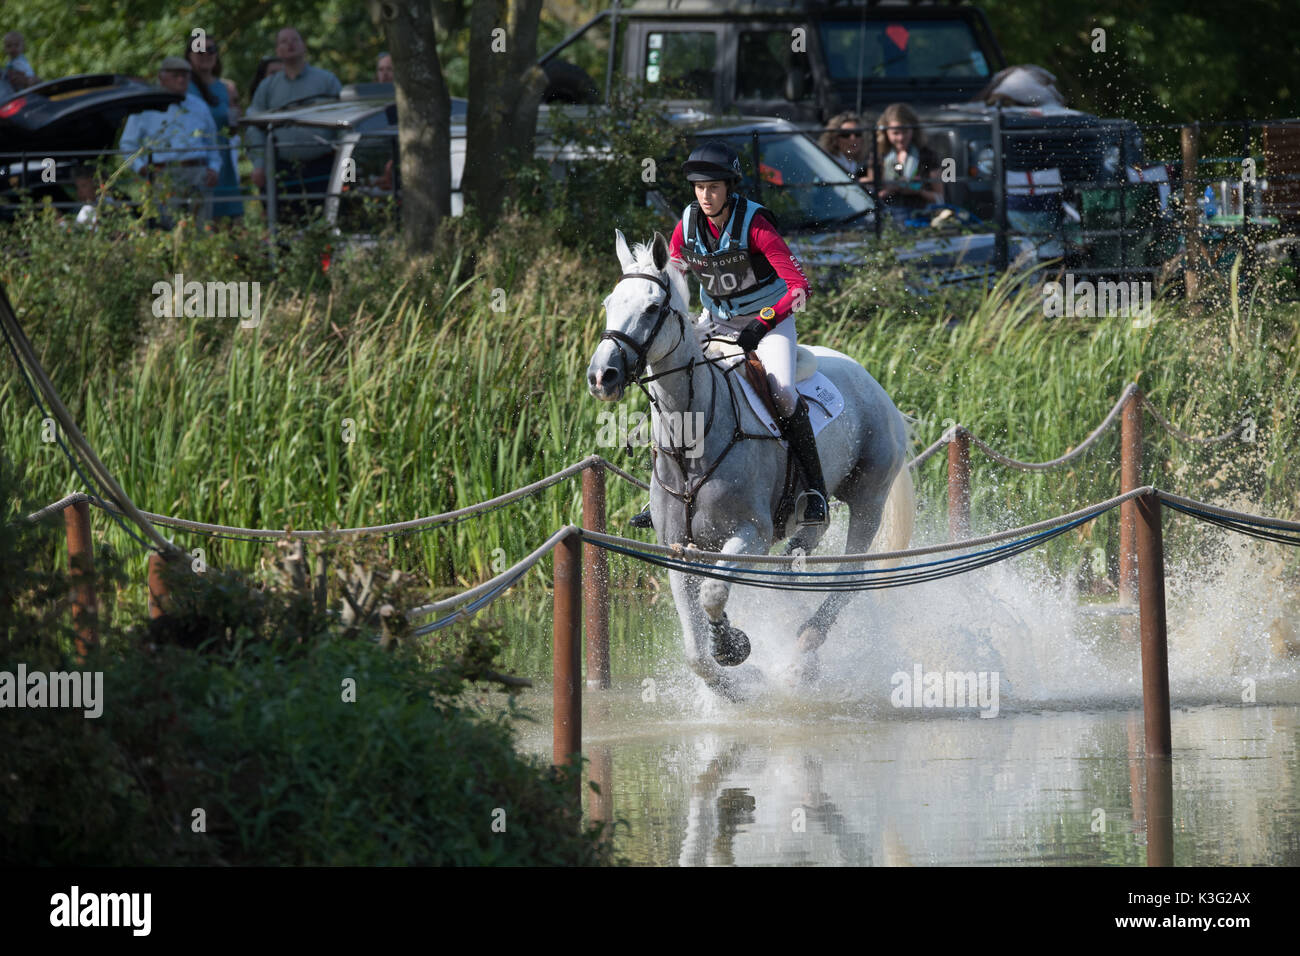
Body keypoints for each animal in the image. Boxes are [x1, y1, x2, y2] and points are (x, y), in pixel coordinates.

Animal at [590, 228, 915, 697]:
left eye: (652, 308)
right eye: (609, 304)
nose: (602, 377)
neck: (692, 437)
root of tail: (872, 381)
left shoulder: (750, 536)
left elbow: (713, 594)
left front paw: (731, 646)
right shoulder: (676, 546)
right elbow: (695, 652)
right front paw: (736, 681)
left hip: (868, 498)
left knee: (850, 575)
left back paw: (804, 650)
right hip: (809, 510)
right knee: (807, 540)